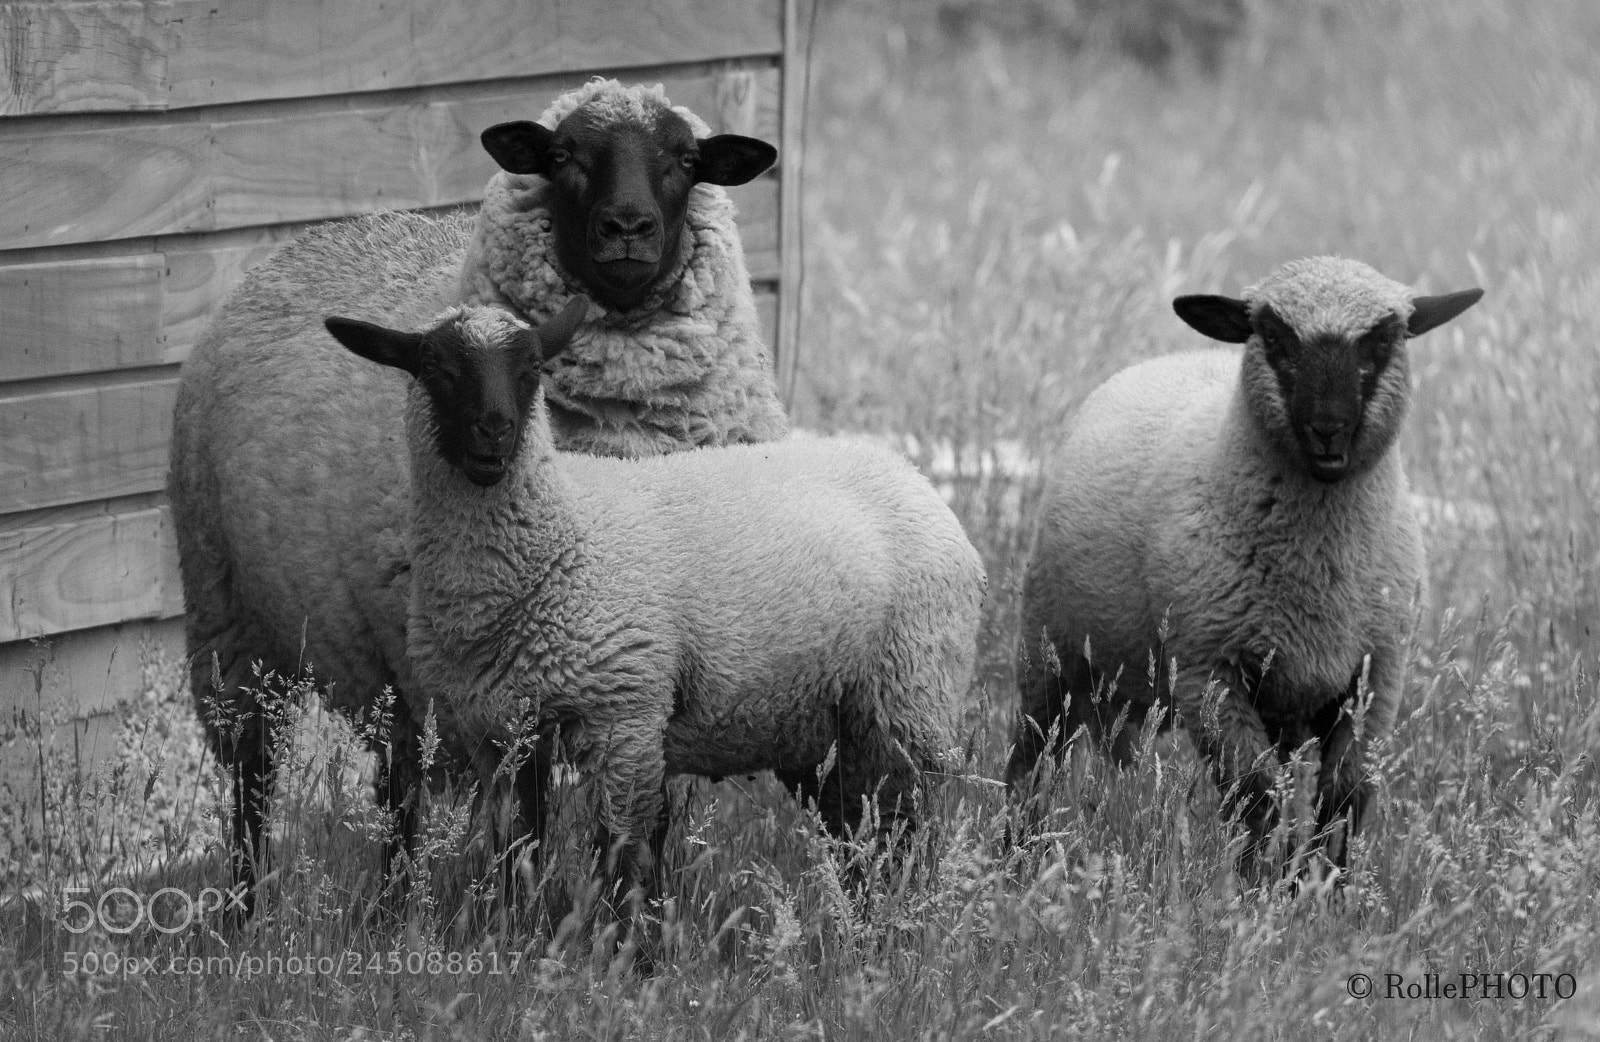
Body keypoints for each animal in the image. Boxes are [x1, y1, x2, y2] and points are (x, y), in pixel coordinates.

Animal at [168, 78, 784, 911]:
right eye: (562, 157)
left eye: (687, 160)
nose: (627, 227)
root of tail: (304, 242)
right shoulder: (498, 684)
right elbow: (526, 828)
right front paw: (530, 920)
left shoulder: (657, 678)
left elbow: (643, 825)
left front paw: (641, 914)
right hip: (231, 619)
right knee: (254, 785)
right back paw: (252, 911)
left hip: (381, 663)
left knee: (395, 782)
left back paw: (392, 906)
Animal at [320, 299, 987, 926]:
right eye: (437, 367)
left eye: (533, 367)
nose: (495, 432)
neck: (562, 530)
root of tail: (913, 476)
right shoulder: (501, 730)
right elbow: (518, 849)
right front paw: (515, 933)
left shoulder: (627, 714)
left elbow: (622, 854)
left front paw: (615, 949)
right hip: (815, 720)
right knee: (855, 834)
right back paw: (859, 928)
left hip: (907, 699)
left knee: (902, 831)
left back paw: (898, 928)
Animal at [1004, 256, 1482, 873]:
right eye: (1274, 337)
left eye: (1383, 339)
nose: (1327, 428)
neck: (1321, 572)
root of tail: (1172, 358)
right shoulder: (1211, 674)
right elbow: (1255, 798)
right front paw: (1259, 884)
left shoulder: (1376, 677)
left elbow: (1344, 799)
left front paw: (1323, 887)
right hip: (1052, 655)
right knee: (1034, 759)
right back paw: (1016, 850)